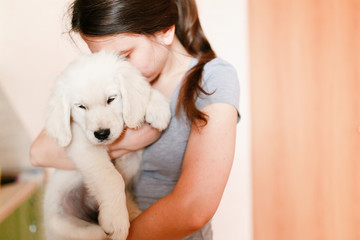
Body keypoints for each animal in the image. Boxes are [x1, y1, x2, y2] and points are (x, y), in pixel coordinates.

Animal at [42, 51, 172, 240]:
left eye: (111, 99)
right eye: (81, 107)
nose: (102, 134)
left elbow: (145, 90)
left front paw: (158, 109)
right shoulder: (84, 145)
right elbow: (112, 177)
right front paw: (116, 220)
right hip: (61, 223)